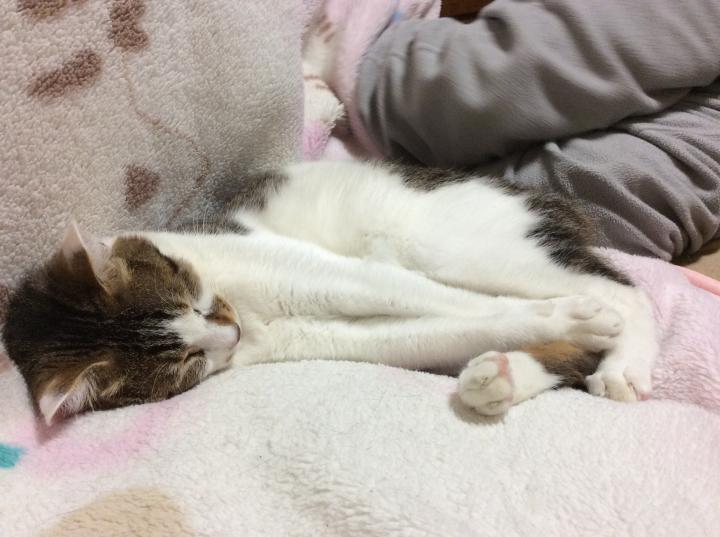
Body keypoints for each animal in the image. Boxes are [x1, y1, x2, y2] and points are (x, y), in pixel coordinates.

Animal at [2, 160, 657, 424]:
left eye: (194, 298)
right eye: (185, 365)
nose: (228, 330)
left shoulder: (323, 272)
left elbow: (445, 300)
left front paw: (568, 317)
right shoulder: (321, 332)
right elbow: (445, 326)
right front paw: (549, 327)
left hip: (452, 245)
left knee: (626, 290)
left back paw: (622, 361)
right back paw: (498, 376)